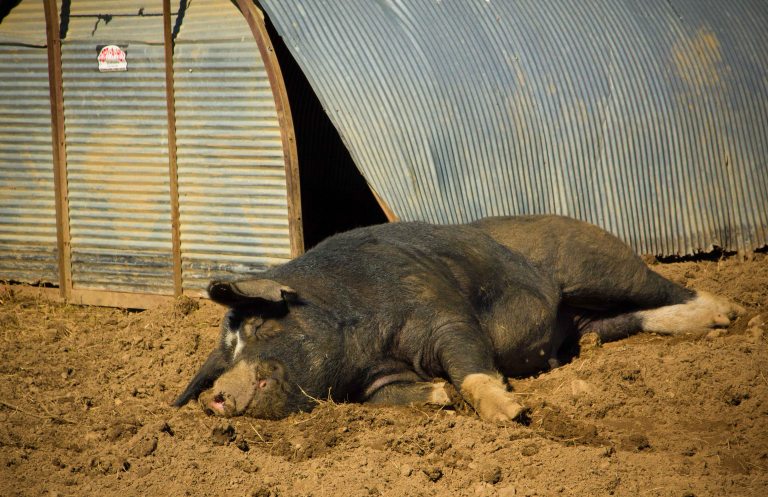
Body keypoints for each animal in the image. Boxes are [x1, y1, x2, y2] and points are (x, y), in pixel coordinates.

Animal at [174, 215, 744, 422]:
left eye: (259, 326)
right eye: (224, 352)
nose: (216, 393)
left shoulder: (442, 312)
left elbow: (470, 362)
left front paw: (510, 414)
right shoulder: (373, 384)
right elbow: (402, 397)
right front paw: (441, 395)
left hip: (599, 266)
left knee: (666, 287)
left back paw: (730, 315)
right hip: (595, 322)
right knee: (637, 318)